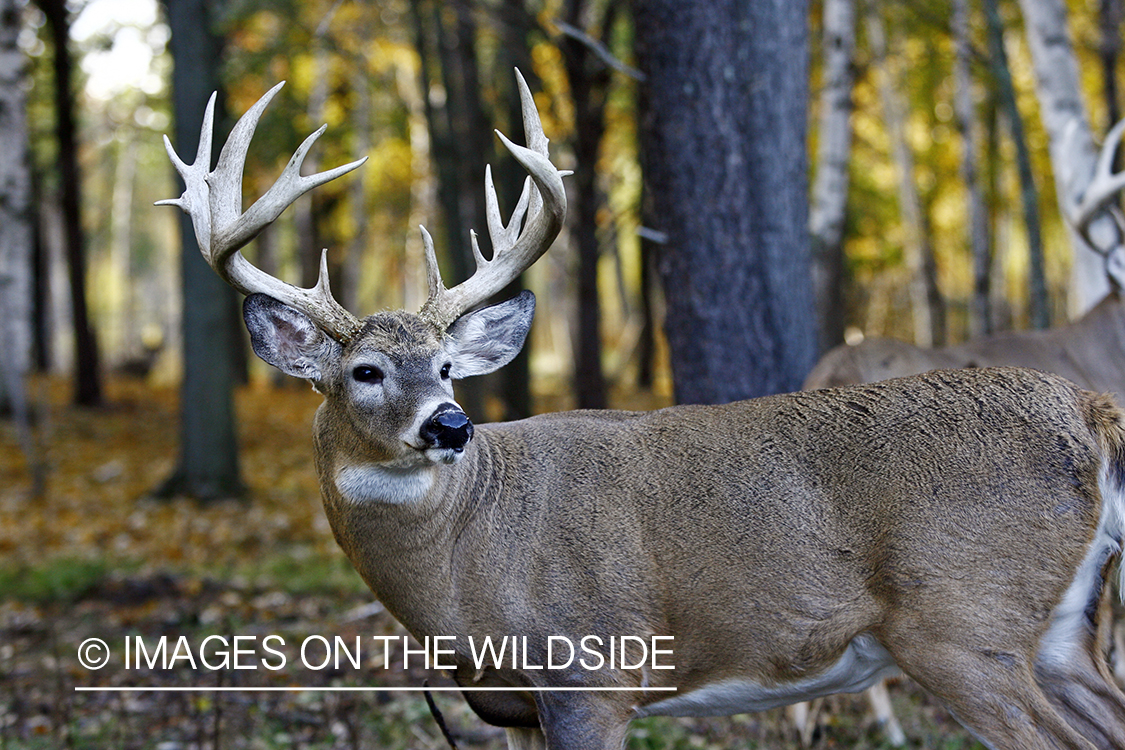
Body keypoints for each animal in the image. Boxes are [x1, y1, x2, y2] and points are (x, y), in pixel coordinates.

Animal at [163, 71, 1125, 750]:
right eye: (364, 371)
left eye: (445, 367)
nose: (449, 425)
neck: (464, 566)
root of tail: (1089, 409)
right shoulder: (512, 709)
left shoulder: (591, 676)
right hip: (1058, 634)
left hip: (963, 624)